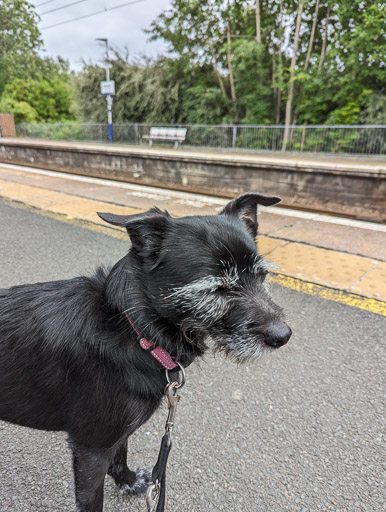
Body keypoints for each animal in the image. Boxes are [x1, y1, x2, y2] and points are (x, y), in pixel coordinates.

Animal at [0, 193, 290, 512]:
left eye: (262, 275)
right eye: (215, 289)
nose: (283, 335)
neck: (134, 330)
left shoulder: (114, 438)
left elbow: (120, 455)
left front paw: (128, 481)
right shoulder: (91, 450)